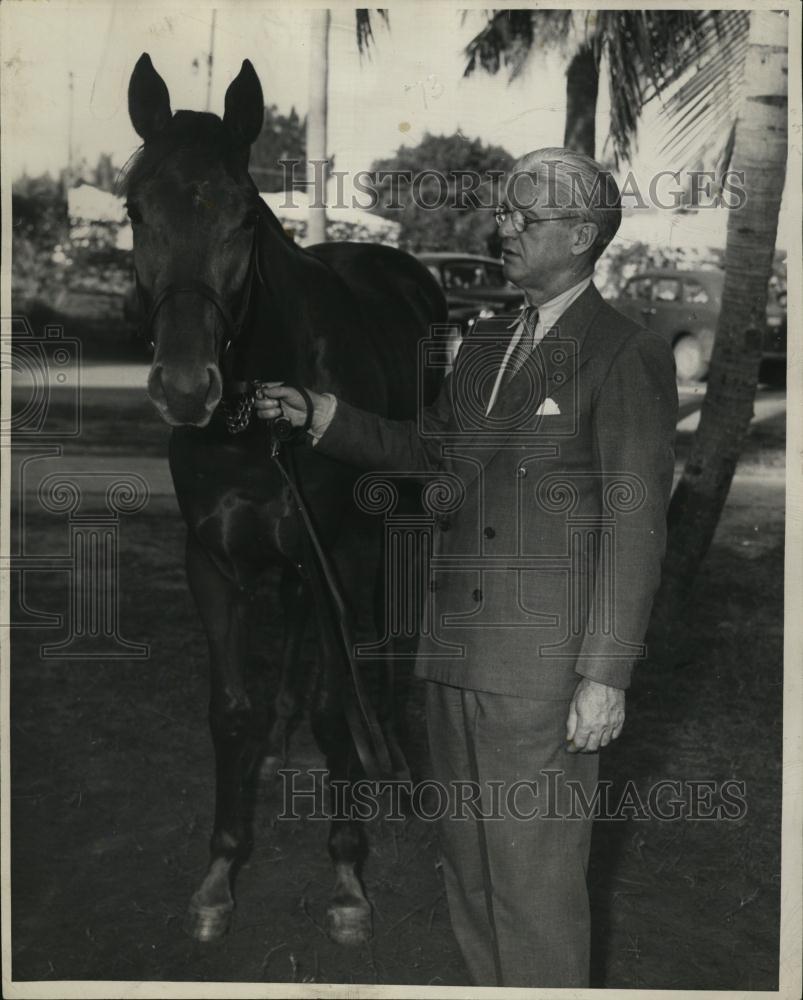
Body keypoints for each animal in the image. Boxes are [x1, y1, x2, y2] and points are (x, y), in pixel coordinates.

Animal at [125, 54, 446, 944]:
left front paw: (346, 876)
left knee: (390, 639)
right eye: (134, 210)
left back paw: (394, 753)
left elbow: (340, 711)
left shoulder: (342, 550)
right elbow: (230, 708)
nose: (184, 387)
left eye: (243, 217)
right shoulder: (214, 560)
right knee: (304, 626)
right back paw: (278, 738)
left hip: (399, 521)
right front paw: (219, 873)